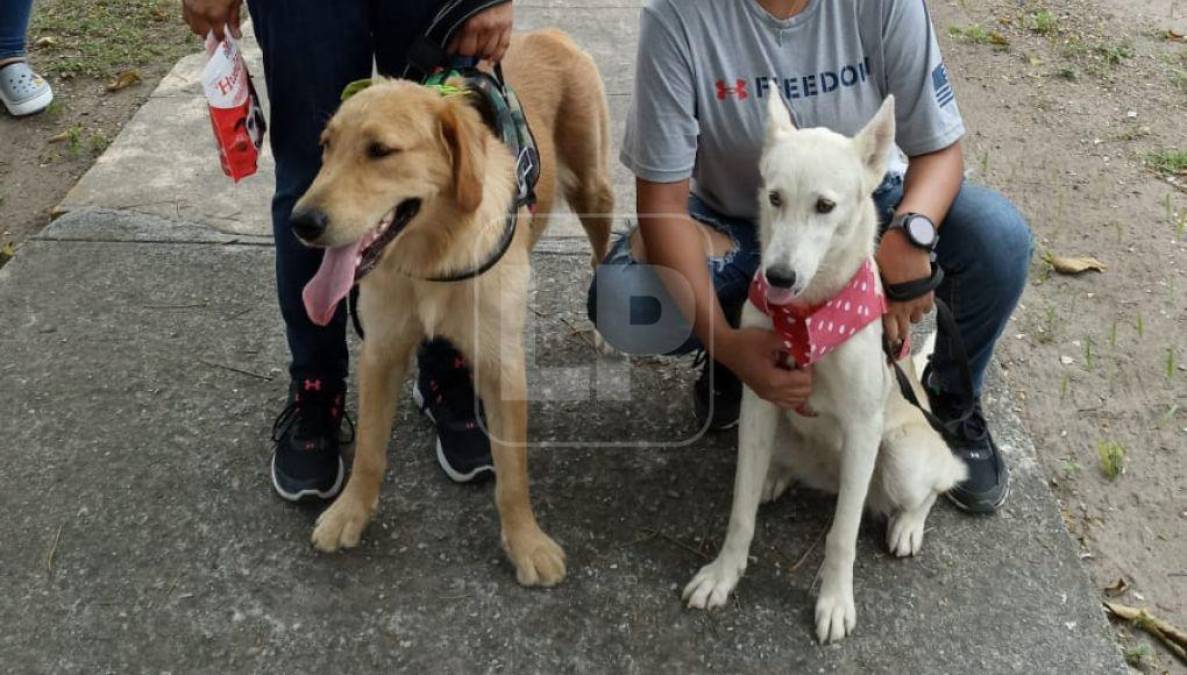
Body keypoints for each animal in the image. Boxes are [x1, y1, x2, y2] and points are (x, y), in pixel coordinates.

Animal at [289, 28, 612, 583]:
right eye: (326, 148)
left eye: (380, 150)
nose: (301, 222)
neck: (431, 256)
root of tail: (551, 33)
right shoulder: (381, 352)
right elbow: (369, 449)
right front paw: (350, 512)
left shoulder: (503, 366)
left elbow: (513, 473)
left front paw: (525, 542)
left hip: (595, 190)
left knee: (603, 249)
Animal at [683, 93, 968, 640]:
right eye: (774, 198)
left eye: (825, 206)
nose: (778, 275)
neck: (807, 314)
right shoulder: (759, 402)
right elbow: (740, 511)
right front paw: (724, 575)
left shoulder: (862, 427)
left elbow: (842, 535)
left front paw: (835, 602)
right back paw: (775, 477)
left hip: (899, 457)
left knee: (939, 482)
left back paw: (908, 524)